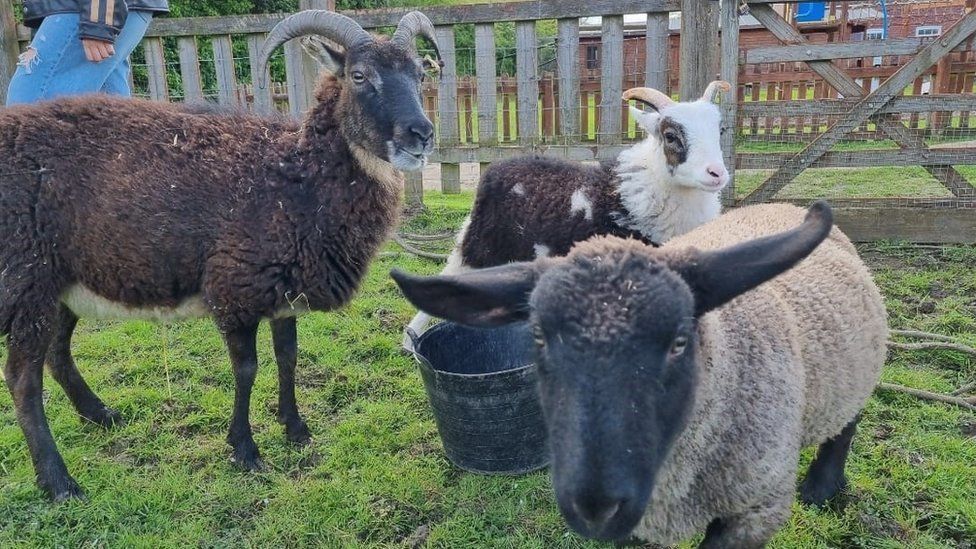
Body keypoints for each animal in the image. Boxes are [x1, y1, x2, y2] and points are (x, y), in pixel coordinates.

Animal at [392, 202, 888, 548]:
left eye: (679, 342)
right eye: (537, 337)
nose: (595, 506)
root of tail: (779, 204)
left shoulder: (753, 511)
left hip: (859, 367)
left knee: (847, 424)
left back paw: (821, 487)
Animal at [404, 80, 732, 346]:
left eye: (720, 131)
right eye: (670, 135)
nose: (717, 174)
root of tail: (497, 167)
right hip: (478, 245)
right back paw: (411, 339)